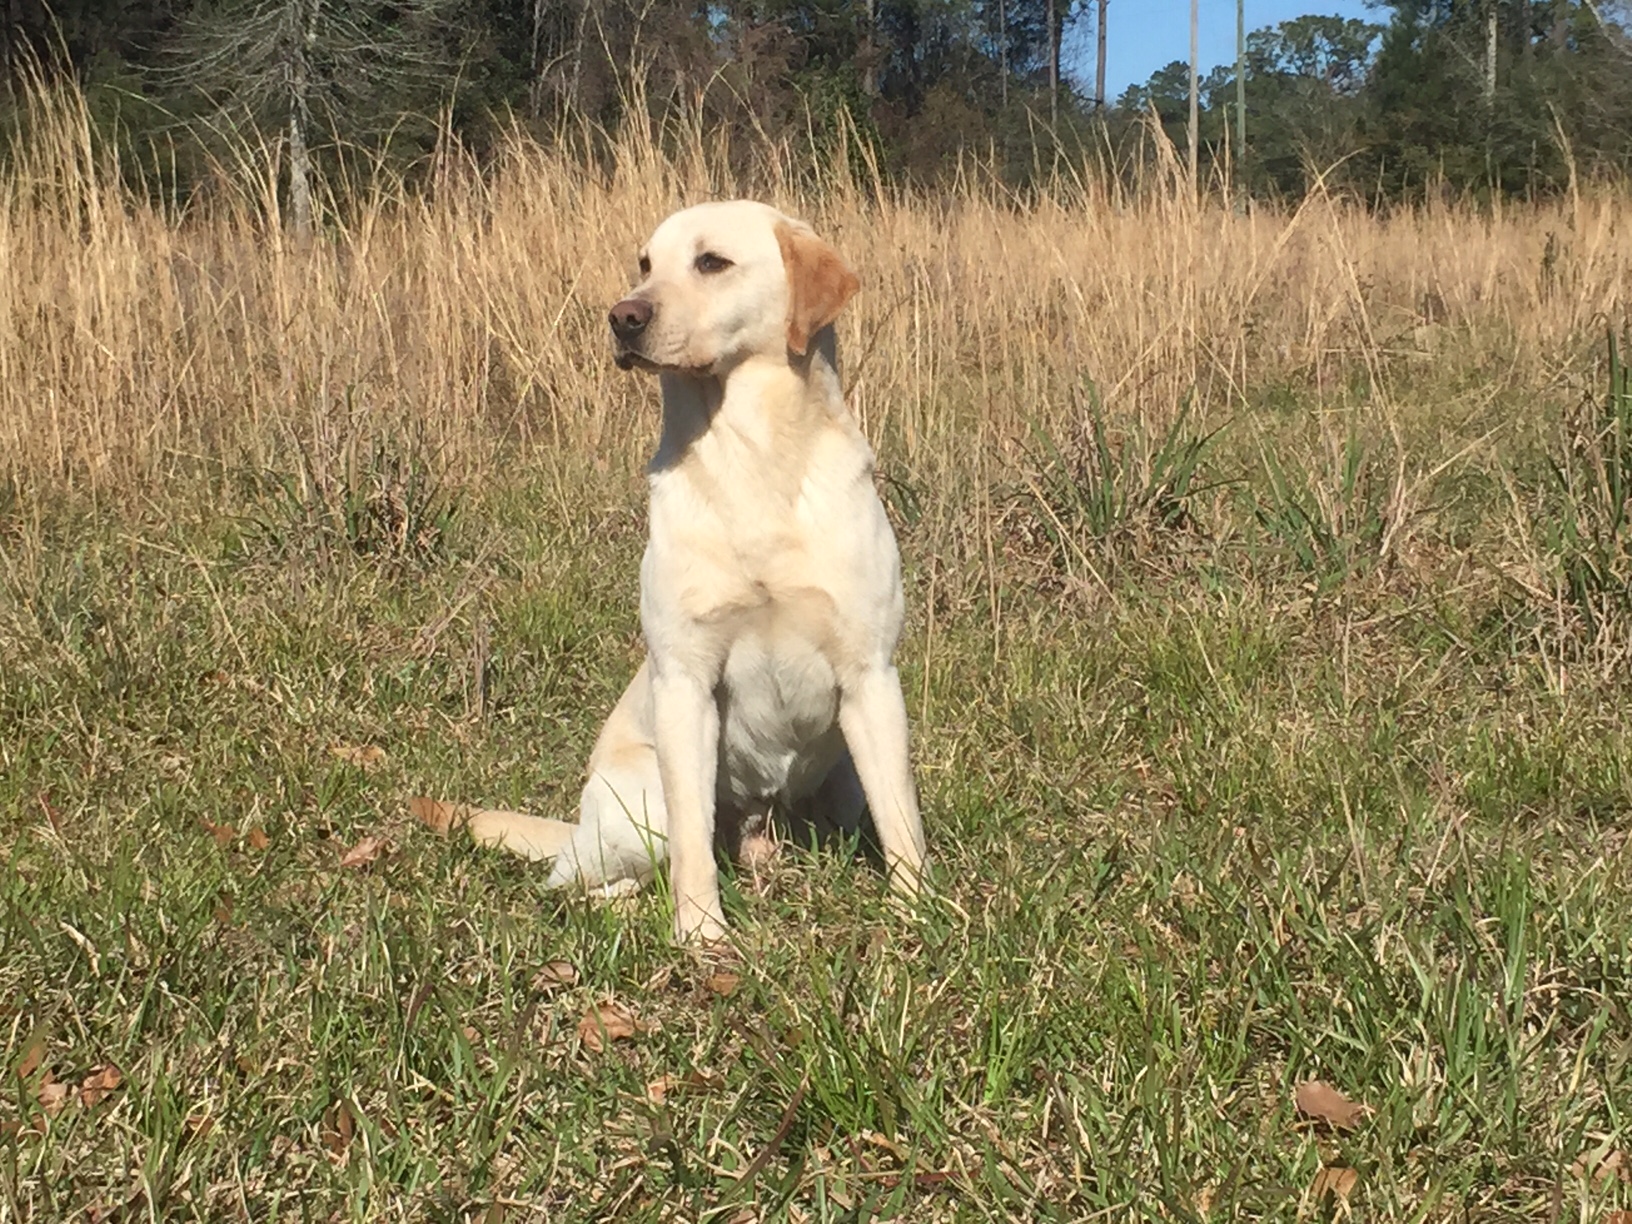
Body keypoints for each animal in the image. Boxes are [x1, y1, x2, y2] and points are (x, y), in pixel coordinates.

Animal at [460, 204, 926, 946]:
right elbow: (691, 845)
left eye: (712, 262)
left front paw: (921, 918)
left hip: (843, 776)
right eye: (645, 264)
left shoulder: (871, 677)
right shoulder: (685, 682)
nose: (622, 316)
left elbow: (903, 820)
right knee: (578, 884)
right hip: (639, 801)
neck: (754, 460)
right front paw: (703, 936)